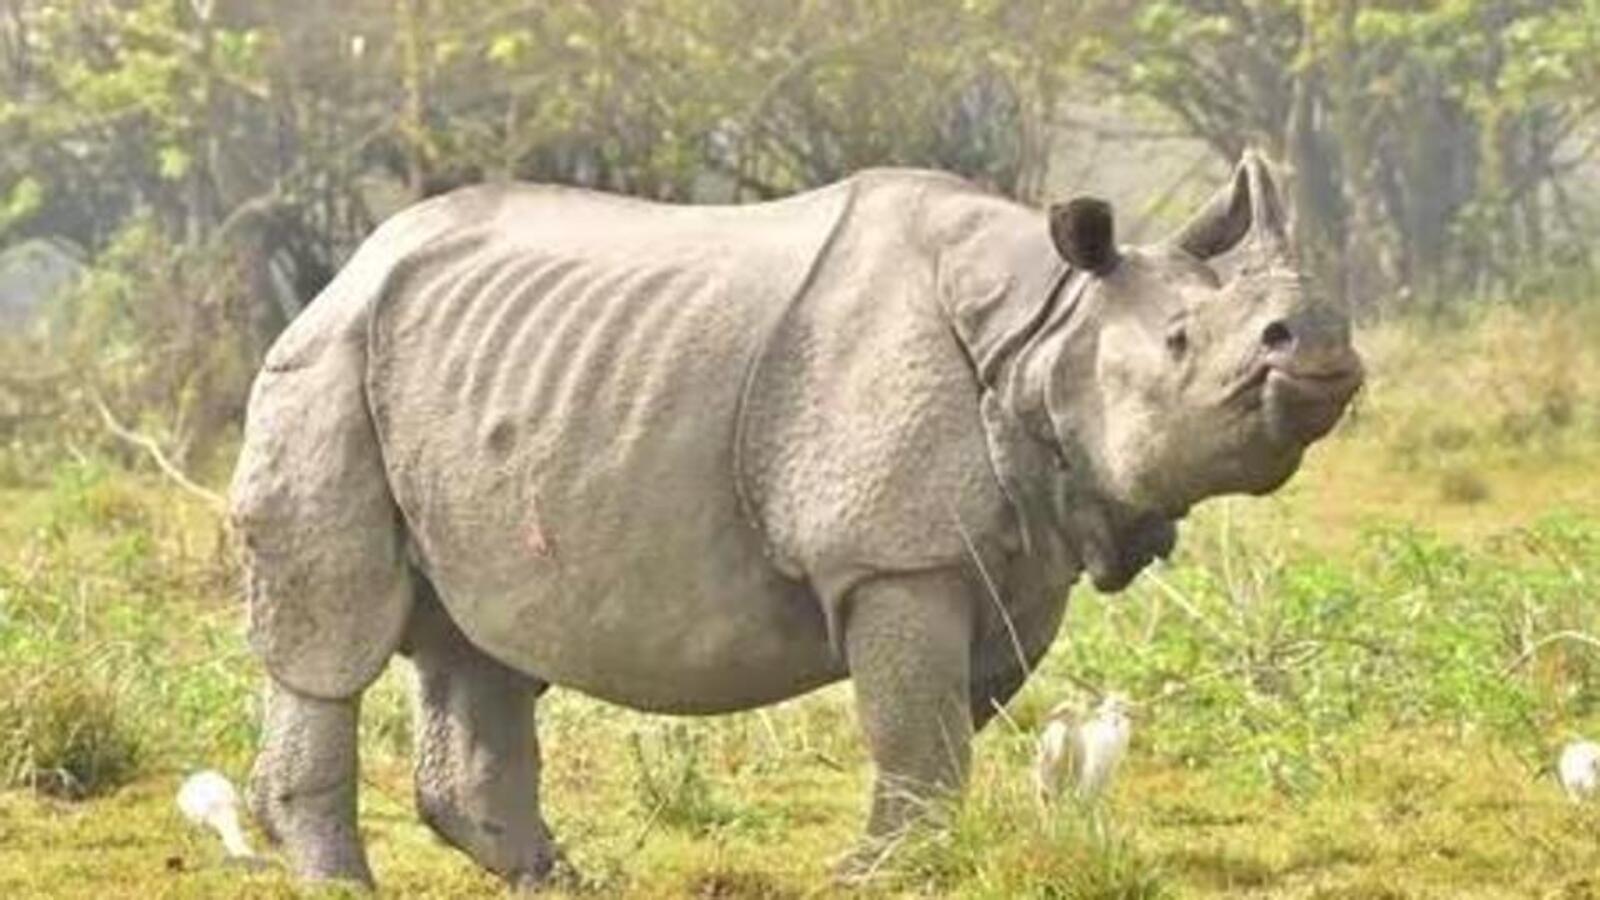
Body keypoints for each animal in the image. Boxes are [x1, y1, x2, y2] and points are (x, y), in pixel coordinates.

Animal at [229, 151, 1361, 888]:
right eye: (1180, 342)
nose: (1320, 344)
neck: (1049, 325)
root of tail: (350, 269)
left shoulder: (1023, 554)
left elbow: (948, 717)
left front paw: (904, 857)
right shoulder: (895, 554)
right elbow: (918, 724)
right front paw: (875, 874)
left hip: (457, 368)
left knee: (482, 639)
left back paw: (562, 882)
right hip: (322, 364)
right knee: (334, 638)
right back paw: (343, 884)